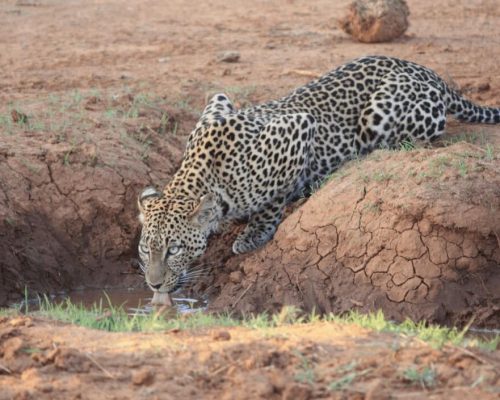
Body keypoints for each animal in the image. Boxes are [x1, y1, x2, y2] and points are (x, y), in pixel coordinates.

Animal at [137, 55, 500, 294]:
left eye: (173, 250)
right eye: (144, 249)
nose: (153, 285)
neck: (202, 173)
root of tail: (430, 73)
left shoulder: (298, 126)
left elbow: (274, 197)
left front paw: (254, 232)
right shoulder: (219, 99)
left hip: (381, 114)